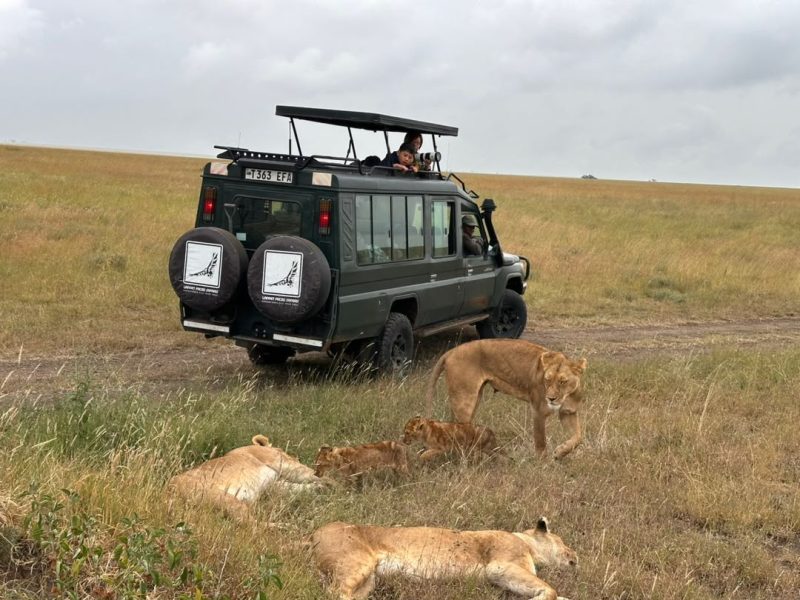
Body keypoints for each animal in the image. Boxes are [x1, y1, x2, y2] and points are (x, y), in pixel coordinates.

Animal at [169, 434, 325, 519]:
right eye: (284, 450)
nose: (296, 457)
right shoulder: (282, 463)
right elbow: (315, 475)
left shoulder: (273, 486)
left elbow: (300, 488)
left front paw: (320, 488)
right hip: (224, 500)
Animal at [312, 517, 577, 600]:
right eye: (563, 542)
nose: (575, 556)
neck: (526, 542)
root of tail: (312, 533)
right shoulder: (500, 566)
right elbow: (551, 590)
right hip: (357, 565)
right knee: (334, 594)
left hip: (368, 581)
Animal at [425, 339, 587, 459]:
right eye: (547, 379)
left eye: (562, 381)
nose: (551, 398)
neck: (566, 395)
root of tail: (450, 352)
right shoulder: (538, 411)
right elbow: (541, 442)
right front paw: (543, 464)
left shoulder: (568, 412)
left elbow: (578, 437)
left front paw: (560, 452)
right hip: (464, 400)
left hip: (473, 399)